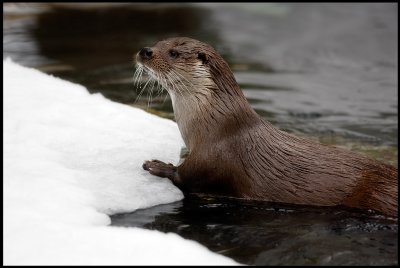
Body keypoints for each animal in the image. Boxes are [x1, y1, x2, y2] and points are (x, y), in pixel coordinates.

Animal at [137, 36, 396, 217]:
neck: (216, 124)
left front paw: (158, 166)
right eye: (158, 42)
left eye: (173, 52)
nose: (145, 50)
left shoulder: (214, 157)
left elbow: (186, 176)